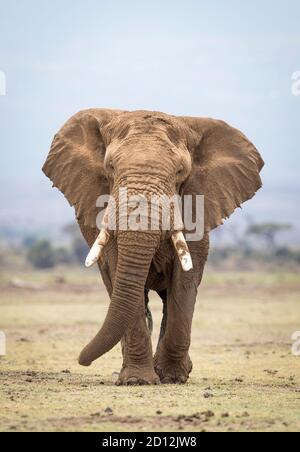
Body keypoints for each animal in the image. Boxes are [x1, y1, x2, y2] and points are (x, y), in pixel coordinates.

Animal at [43, 108, 264, 384]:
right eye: (110, 167)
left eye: (180, 171)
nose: (82, 360)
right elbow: (123, 278)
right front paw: (137, 381)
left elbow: (184, 282)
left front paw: (172, 377)